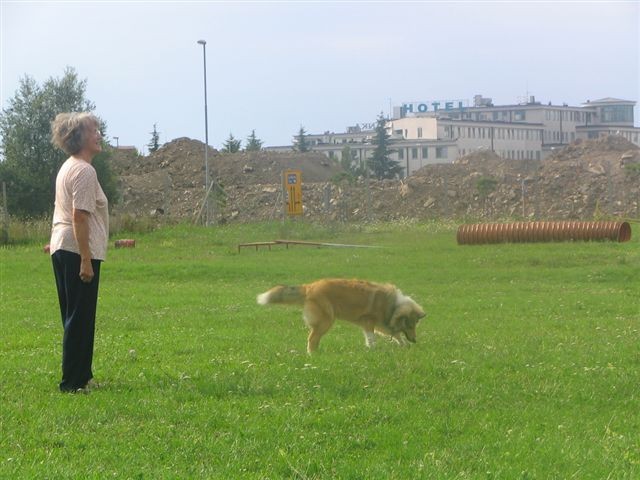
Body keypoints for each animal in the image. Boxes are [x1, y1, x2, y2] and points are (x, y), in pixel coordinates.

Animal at [255, 278, 424, 352]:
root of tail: (309, 287)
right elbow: (372, 338)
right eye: (410, 325)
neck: (393, 305)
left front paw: (404, 345)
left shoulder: (381, 323)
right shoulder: (369, 321)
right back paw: (313, 355)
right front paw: (373, 350)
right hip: (326, 321)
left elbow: (395, 334)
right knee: (312, 339)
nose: (415, 340)